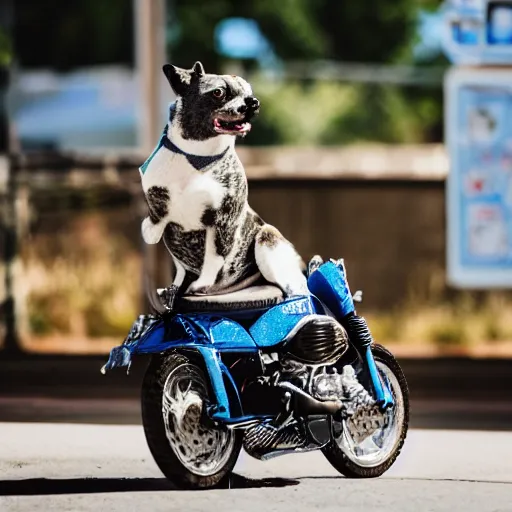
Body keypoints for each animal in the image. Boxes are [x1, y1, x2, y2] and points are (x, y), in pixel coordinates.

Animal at [139, 60, 308, 308]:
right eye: (218, 93)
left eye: (249, 92)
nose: (253, 102)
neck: (197, 157)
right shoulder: (157, 199)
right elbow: (155, 221)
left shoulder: (222, 221)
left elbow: (213, 258)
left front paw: (202, 283)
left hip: (268, 240)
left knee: (298, 290)